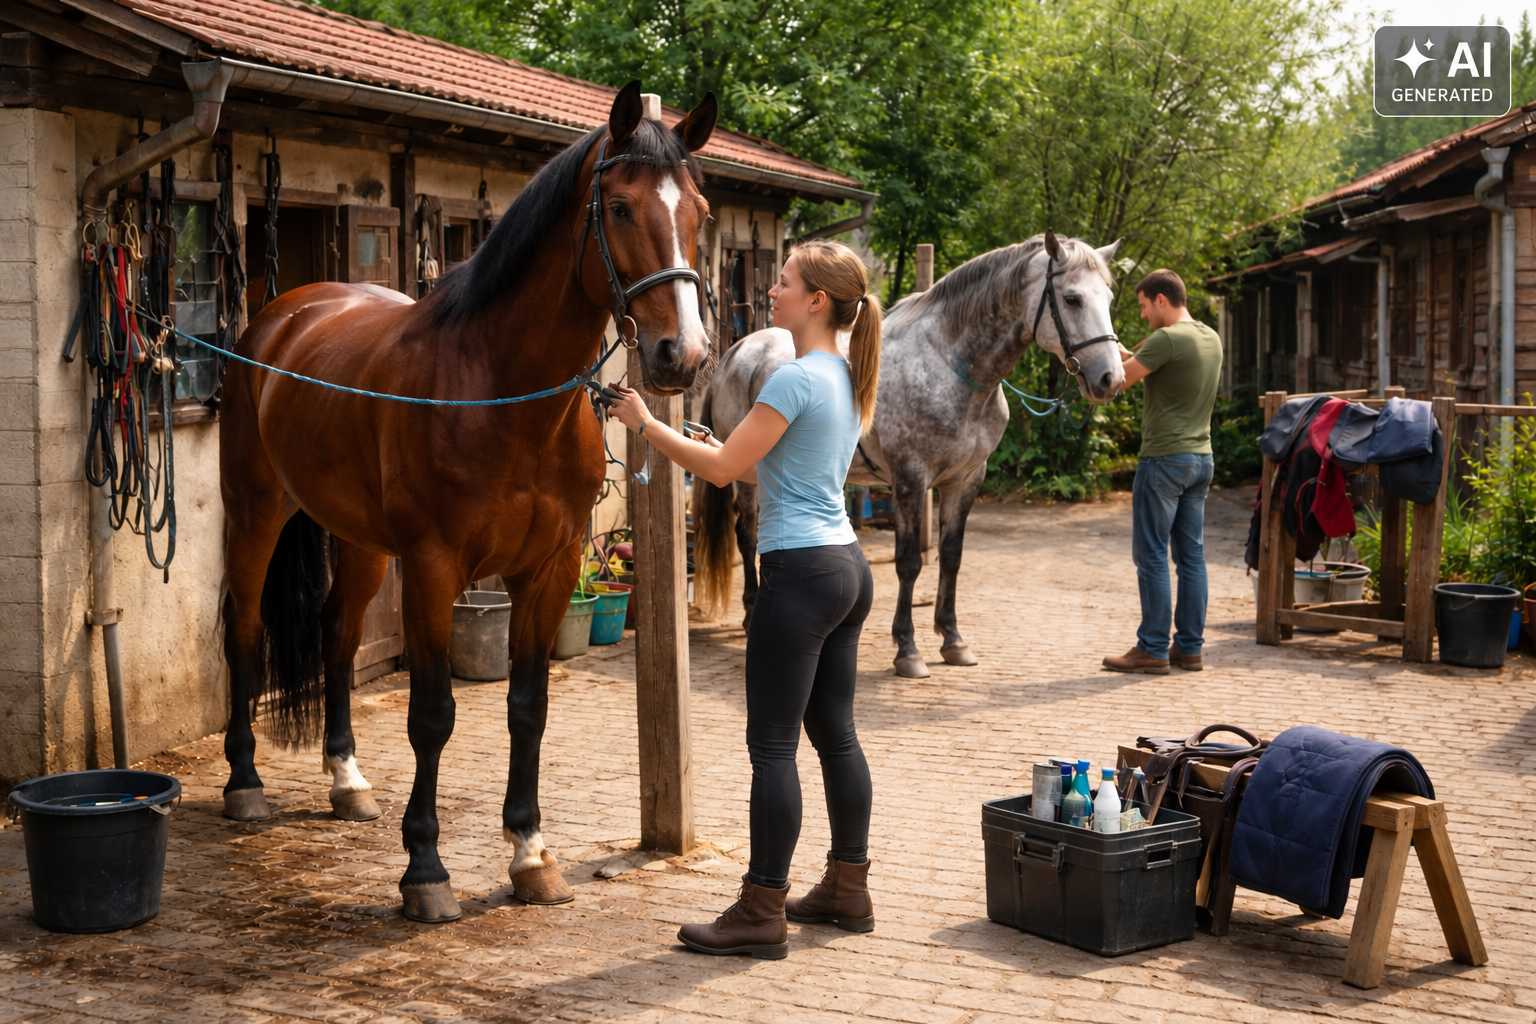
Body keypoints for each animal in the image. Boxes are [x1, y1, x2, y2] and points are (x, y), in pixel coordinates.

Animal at [217, 82, 717, 923]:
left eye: (702, 213)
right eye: (619, 207)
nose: (682, 355)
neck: (501, 390)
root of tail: (280, 319)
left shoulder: (548, 571)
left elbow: (527, 708)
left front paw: (531, 857)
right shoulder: (433, 567)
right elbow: (433, 714)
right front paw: (425, 871)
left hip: (360, 542)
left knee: (337, 634)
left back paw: (347, 781)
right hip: (256, 512)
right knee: (246, 630)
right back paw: (245, 784)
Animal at [693, 231, 1122, 678]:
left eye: (1109, 297)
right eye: (1072, 298)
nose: (1110, 378)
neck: (951, 367)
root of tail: (740, 349)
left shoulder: (965, 480)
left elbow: (951, 557)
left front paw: (953, 639)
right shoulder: (911, 481)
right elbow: (909, 561)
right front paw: (907, 649)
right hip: (746, 475)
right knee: (747, 534)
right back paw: (750, 611)